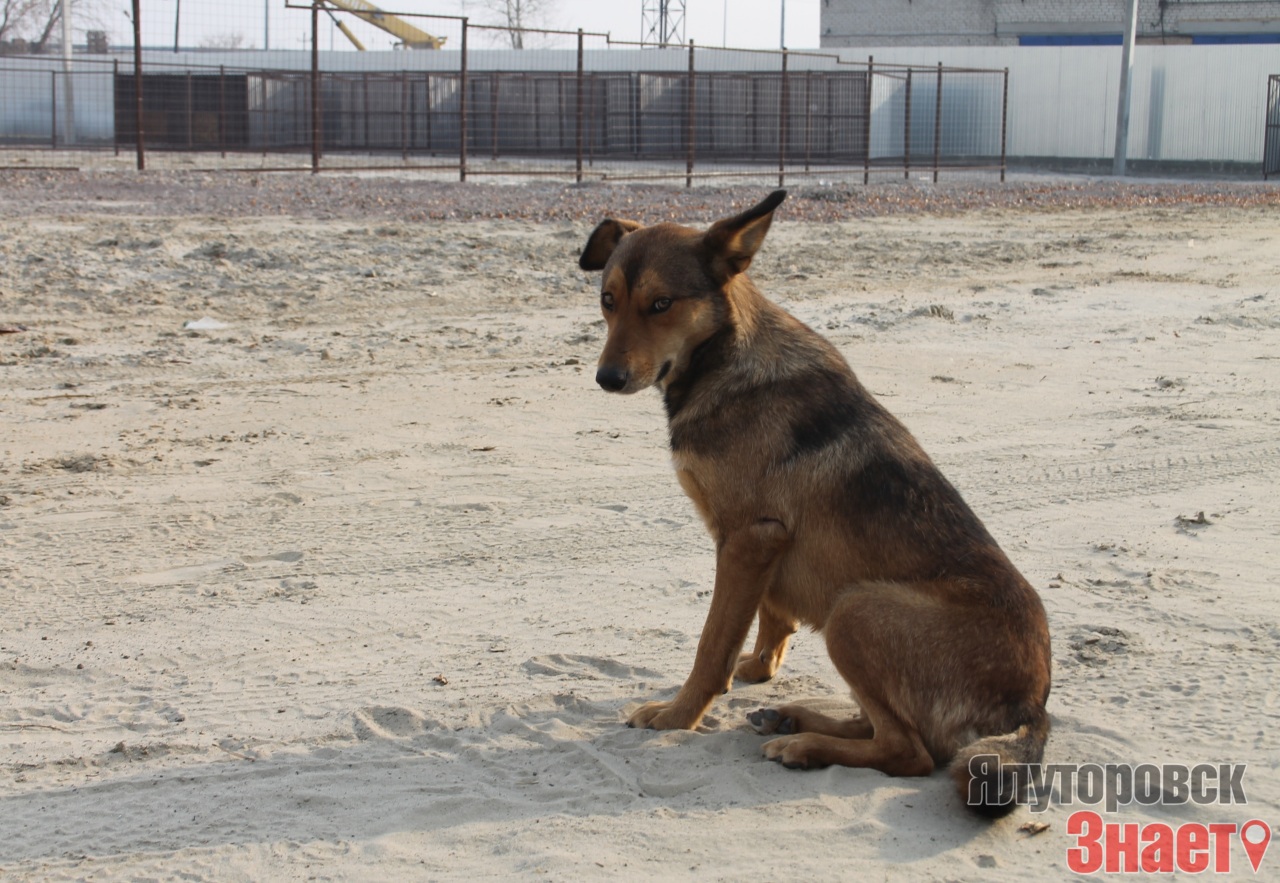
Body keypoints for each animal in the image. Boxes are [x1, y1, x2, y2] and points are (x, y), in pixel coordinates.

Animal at [578, 186, 1049, 813]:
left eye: (661, 304)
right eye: (608, 301)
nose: (607, 378)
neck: (724, 358)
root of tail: (1033, 707)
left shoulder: (749, 538)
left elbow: (712, 646)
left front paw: (679, 715)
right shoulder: (760, 546)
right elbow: (769, 617)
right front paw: (759, 668)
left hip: (856, 609)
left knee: (910, 752)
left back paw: (802, 745)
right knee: (888, 729)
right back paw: (792, 719)